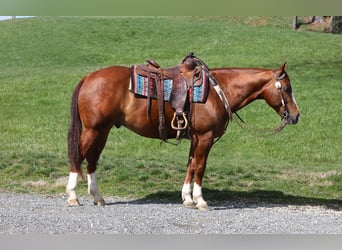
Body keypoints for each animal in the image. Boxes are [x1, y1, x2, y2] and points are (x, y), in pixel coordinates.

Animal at [66, 56, 300, 209]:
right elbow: (200, 167)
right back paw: (72, 196)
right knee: (78, 155)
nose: (296, 116)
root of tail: (89, 77)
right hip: (94, 130)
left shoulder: (195, 138)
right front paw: (201, 200)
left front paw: (187, 198)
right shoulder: (205, 137)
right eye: (287, 89)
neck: (218, 91)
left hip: (102, 130)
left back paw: (97, 197)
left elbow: (190, 165)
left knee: (92, 158)